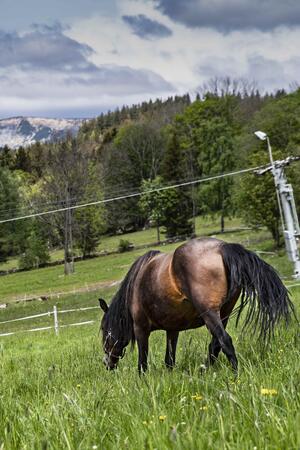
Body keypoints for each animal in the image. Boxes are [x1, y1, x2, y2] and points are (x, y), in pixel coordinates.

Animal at [98, 239, 292, 372]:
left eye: (105, 331)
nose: (107, 363)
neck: (138, 283)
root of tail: (221, 247)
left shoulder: (140, 328)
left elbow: (142, 361)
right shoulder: (172, 330)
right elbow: (169, 360)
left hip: (210, 314)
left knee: (225, 341)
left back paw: (235, 375)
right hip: (223, 314)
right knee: (215, 345)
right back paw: (206, 371)